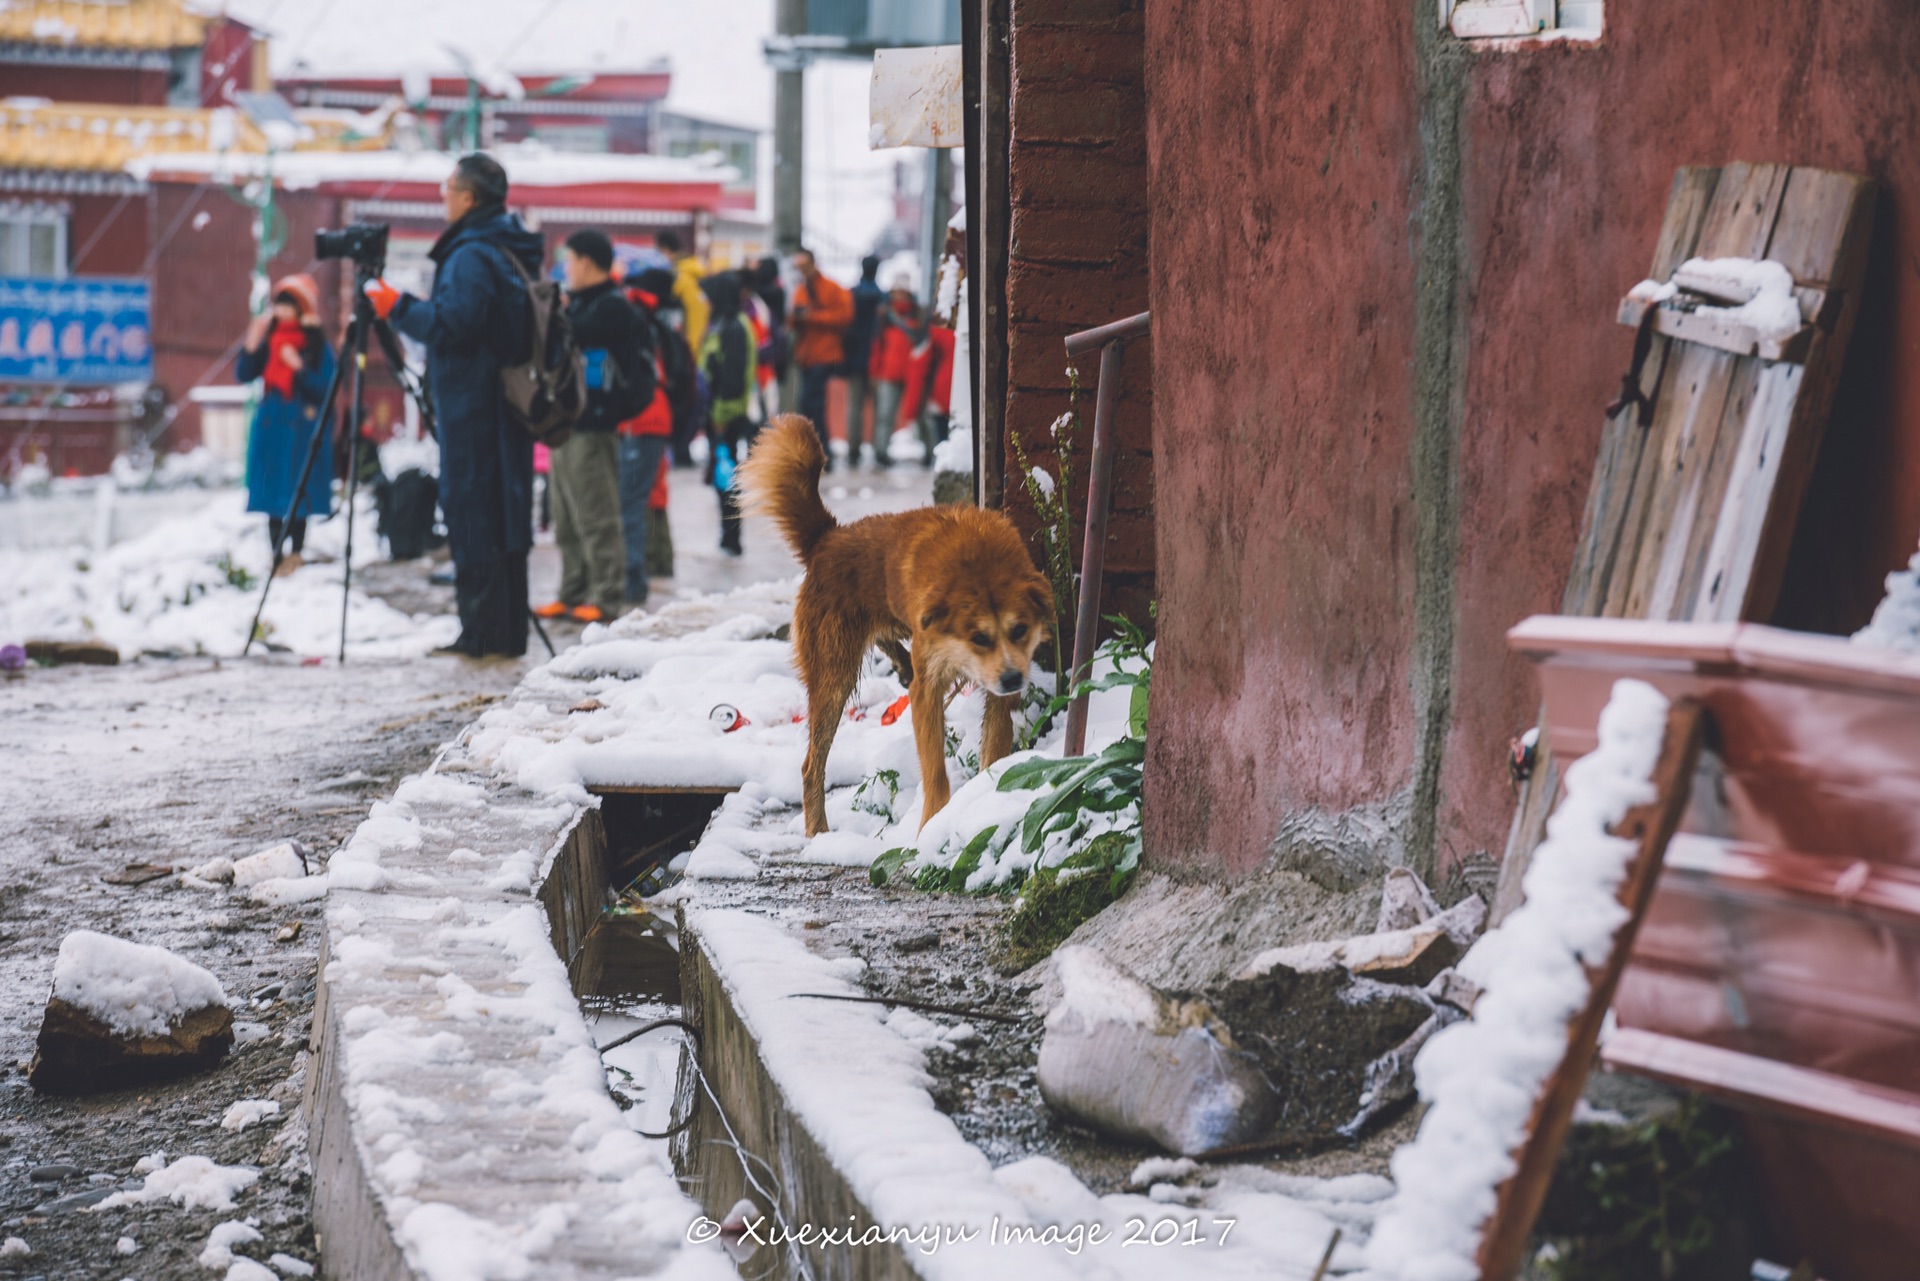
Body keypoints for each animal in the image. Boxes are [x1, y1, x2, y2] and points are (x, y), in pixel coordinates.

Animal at [737, 416, 1059, 837]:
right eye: (978, 637)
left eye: (1019, 630)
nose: (1012, 679)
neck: (977, 564)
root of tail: (827, 538)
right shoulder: (929, 690)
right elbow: (935, 772)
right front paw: (931, 826)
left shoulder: (997, 689)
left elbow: (994, 749)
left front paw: (980, 804)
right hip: (833, 677)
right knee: (811, 765)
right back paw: (818, 831)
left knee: (890, 638)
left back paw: (903, 663)